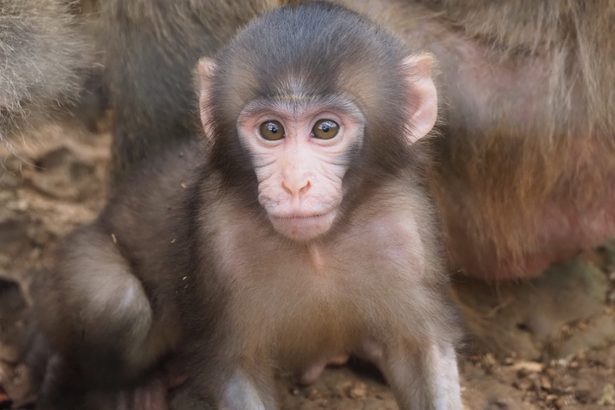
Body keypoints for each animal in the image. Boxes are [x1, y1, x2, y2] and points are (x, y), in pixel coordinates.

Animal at [35, 1, 462, 408]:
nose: (294, 184)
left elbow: (418, 349)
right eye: (271, 130)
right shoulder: (220, 237)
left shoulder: (405, 227)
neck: (318, 248)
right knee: (117, 305)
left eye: (326, 129)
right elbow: (234, 367)